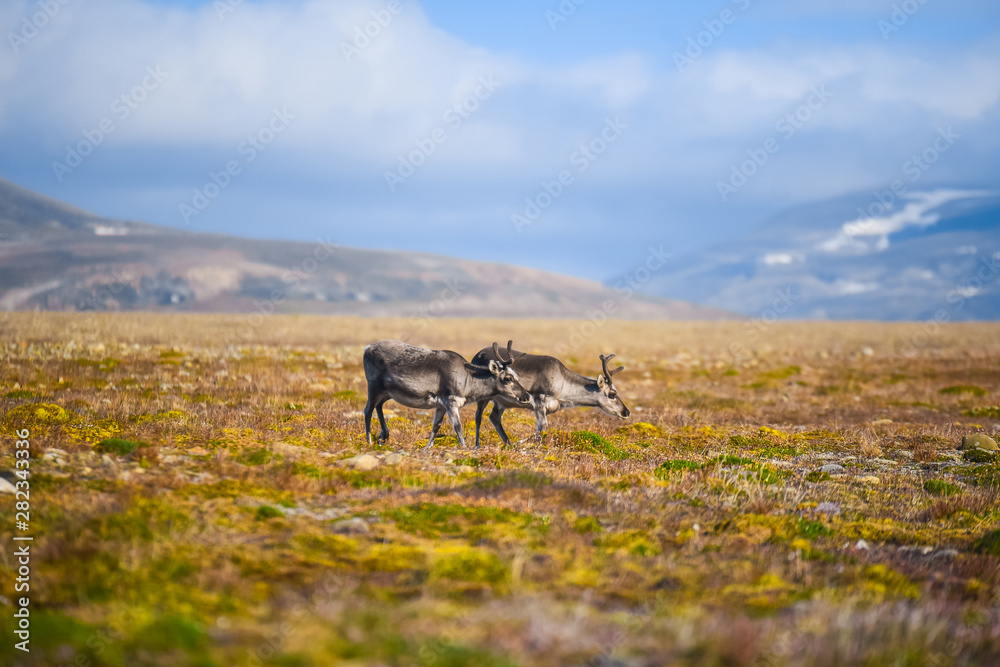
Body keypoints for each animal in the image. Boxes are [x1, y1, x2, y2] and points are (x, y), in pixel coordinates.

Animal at [363, 339, 530, 448]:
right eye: (508, 378)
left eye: (516, 376)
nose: (526, 396)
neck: (468, 378)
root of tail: (366, 348)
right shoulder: (450, 402)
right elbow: (458, 427)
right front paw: (464, 448)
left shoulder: (440, 406)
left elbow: (435, 427)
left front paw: (427, 448)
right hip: (373, 387)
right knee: (368, 410)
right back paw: (369, 441)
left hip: (386, 392)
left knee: (378, 407)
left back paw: (383, 436)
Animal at [471, 343, 631, 448]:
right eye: (612, 394)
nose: (626, 412)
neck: (563, 386)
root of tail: (476, 355)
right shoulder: (539, 401)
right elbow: (543, 427)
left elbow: (541, 429)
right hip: (482, 396)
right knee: (478, 416)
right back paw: (477, 445)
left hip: (501, 403)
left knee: (494, 417)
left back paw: (508, 443)